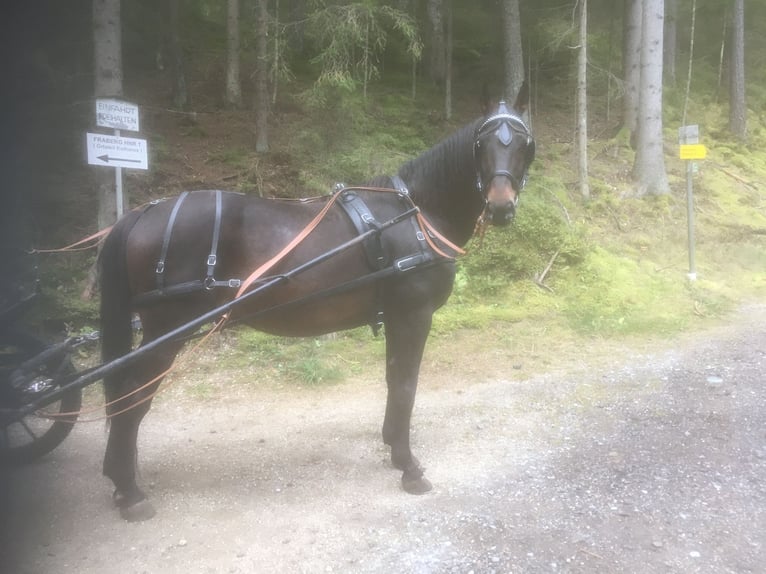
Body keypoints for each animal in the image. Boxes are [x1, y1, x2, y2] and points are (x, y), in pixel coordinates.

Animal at [99, 90, 536, 520]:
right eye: (481, 144)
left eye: (523, 145)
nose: (501, 207)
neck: (415, 215)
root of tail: (143, 213)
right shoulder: (413, 315)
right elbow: (406, 385)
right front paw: (408, 465)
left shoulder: (398, 318)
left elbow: (393, 380)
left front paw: (391, 445)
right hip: (166, 329)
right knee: (132, 396)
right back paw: (129, 490)